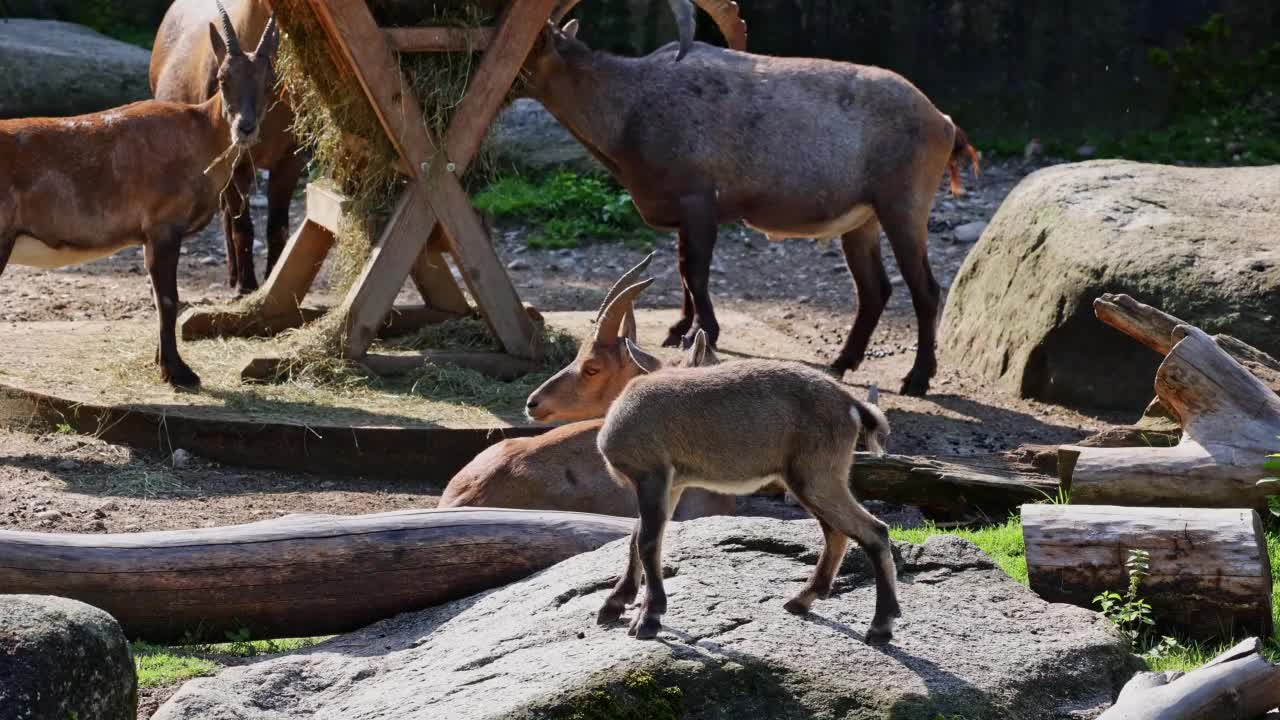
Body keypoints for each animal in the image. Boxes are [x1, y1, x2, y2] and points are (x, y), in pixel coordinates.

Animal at [524, 0, 972, 392]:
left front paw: (703, 332)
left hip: (903, 206)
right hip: (863, 221)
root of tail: (944, 121)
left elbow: (694, 272)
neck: (630, 106)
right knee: (874, 290)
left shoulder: (699, 202)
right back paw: (842, 362)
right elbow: (683, 273)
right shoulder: (684, 216)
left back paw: (917, 379)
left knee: (925, 290)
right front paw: (679, 329)